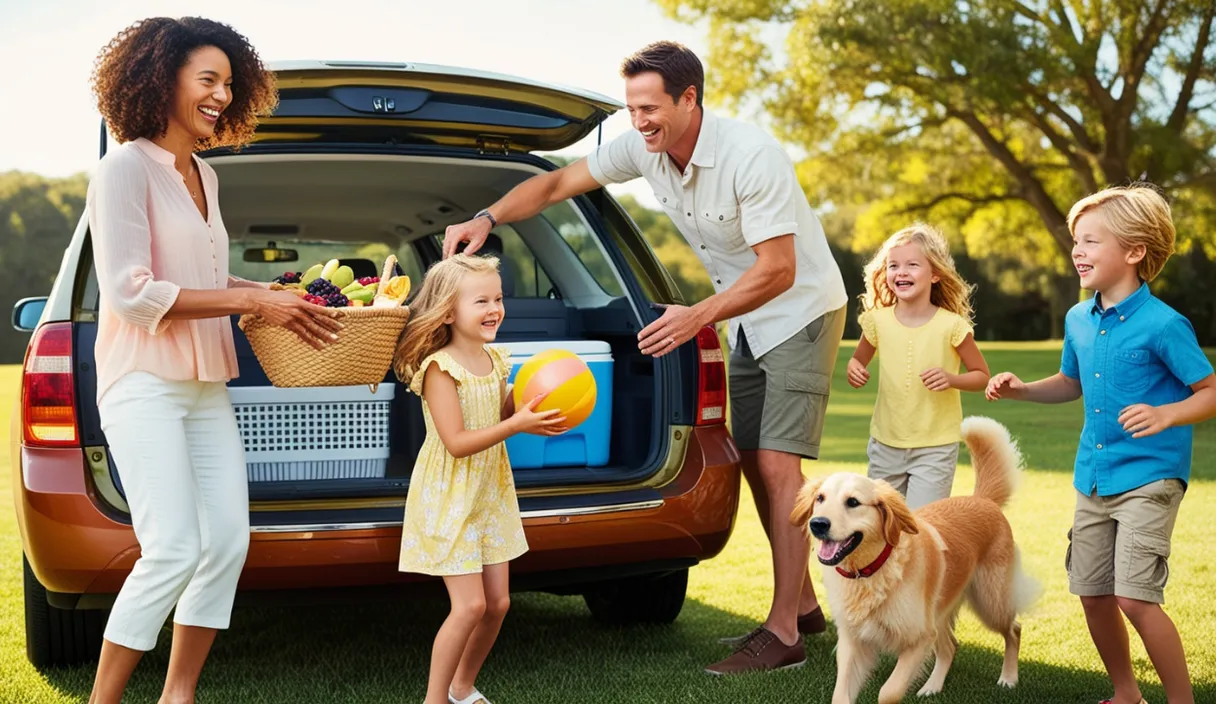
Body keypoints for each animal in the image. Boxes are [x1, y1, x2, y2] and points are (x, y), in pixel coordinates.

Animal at [792, 415, 1040, 700]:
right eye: (820, 498)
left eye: (853, 502)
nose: (817, 524)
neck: (873, 569)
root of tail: (982, 499)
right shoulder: (852, 641)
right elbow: (841, 694)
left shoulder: (919, 638)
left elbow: (889, 691)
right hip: (942, 610)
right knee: (951, 646)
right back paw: (932, 687)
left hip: (990, 601)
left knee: (1014, 629)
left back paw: (1008, 678)